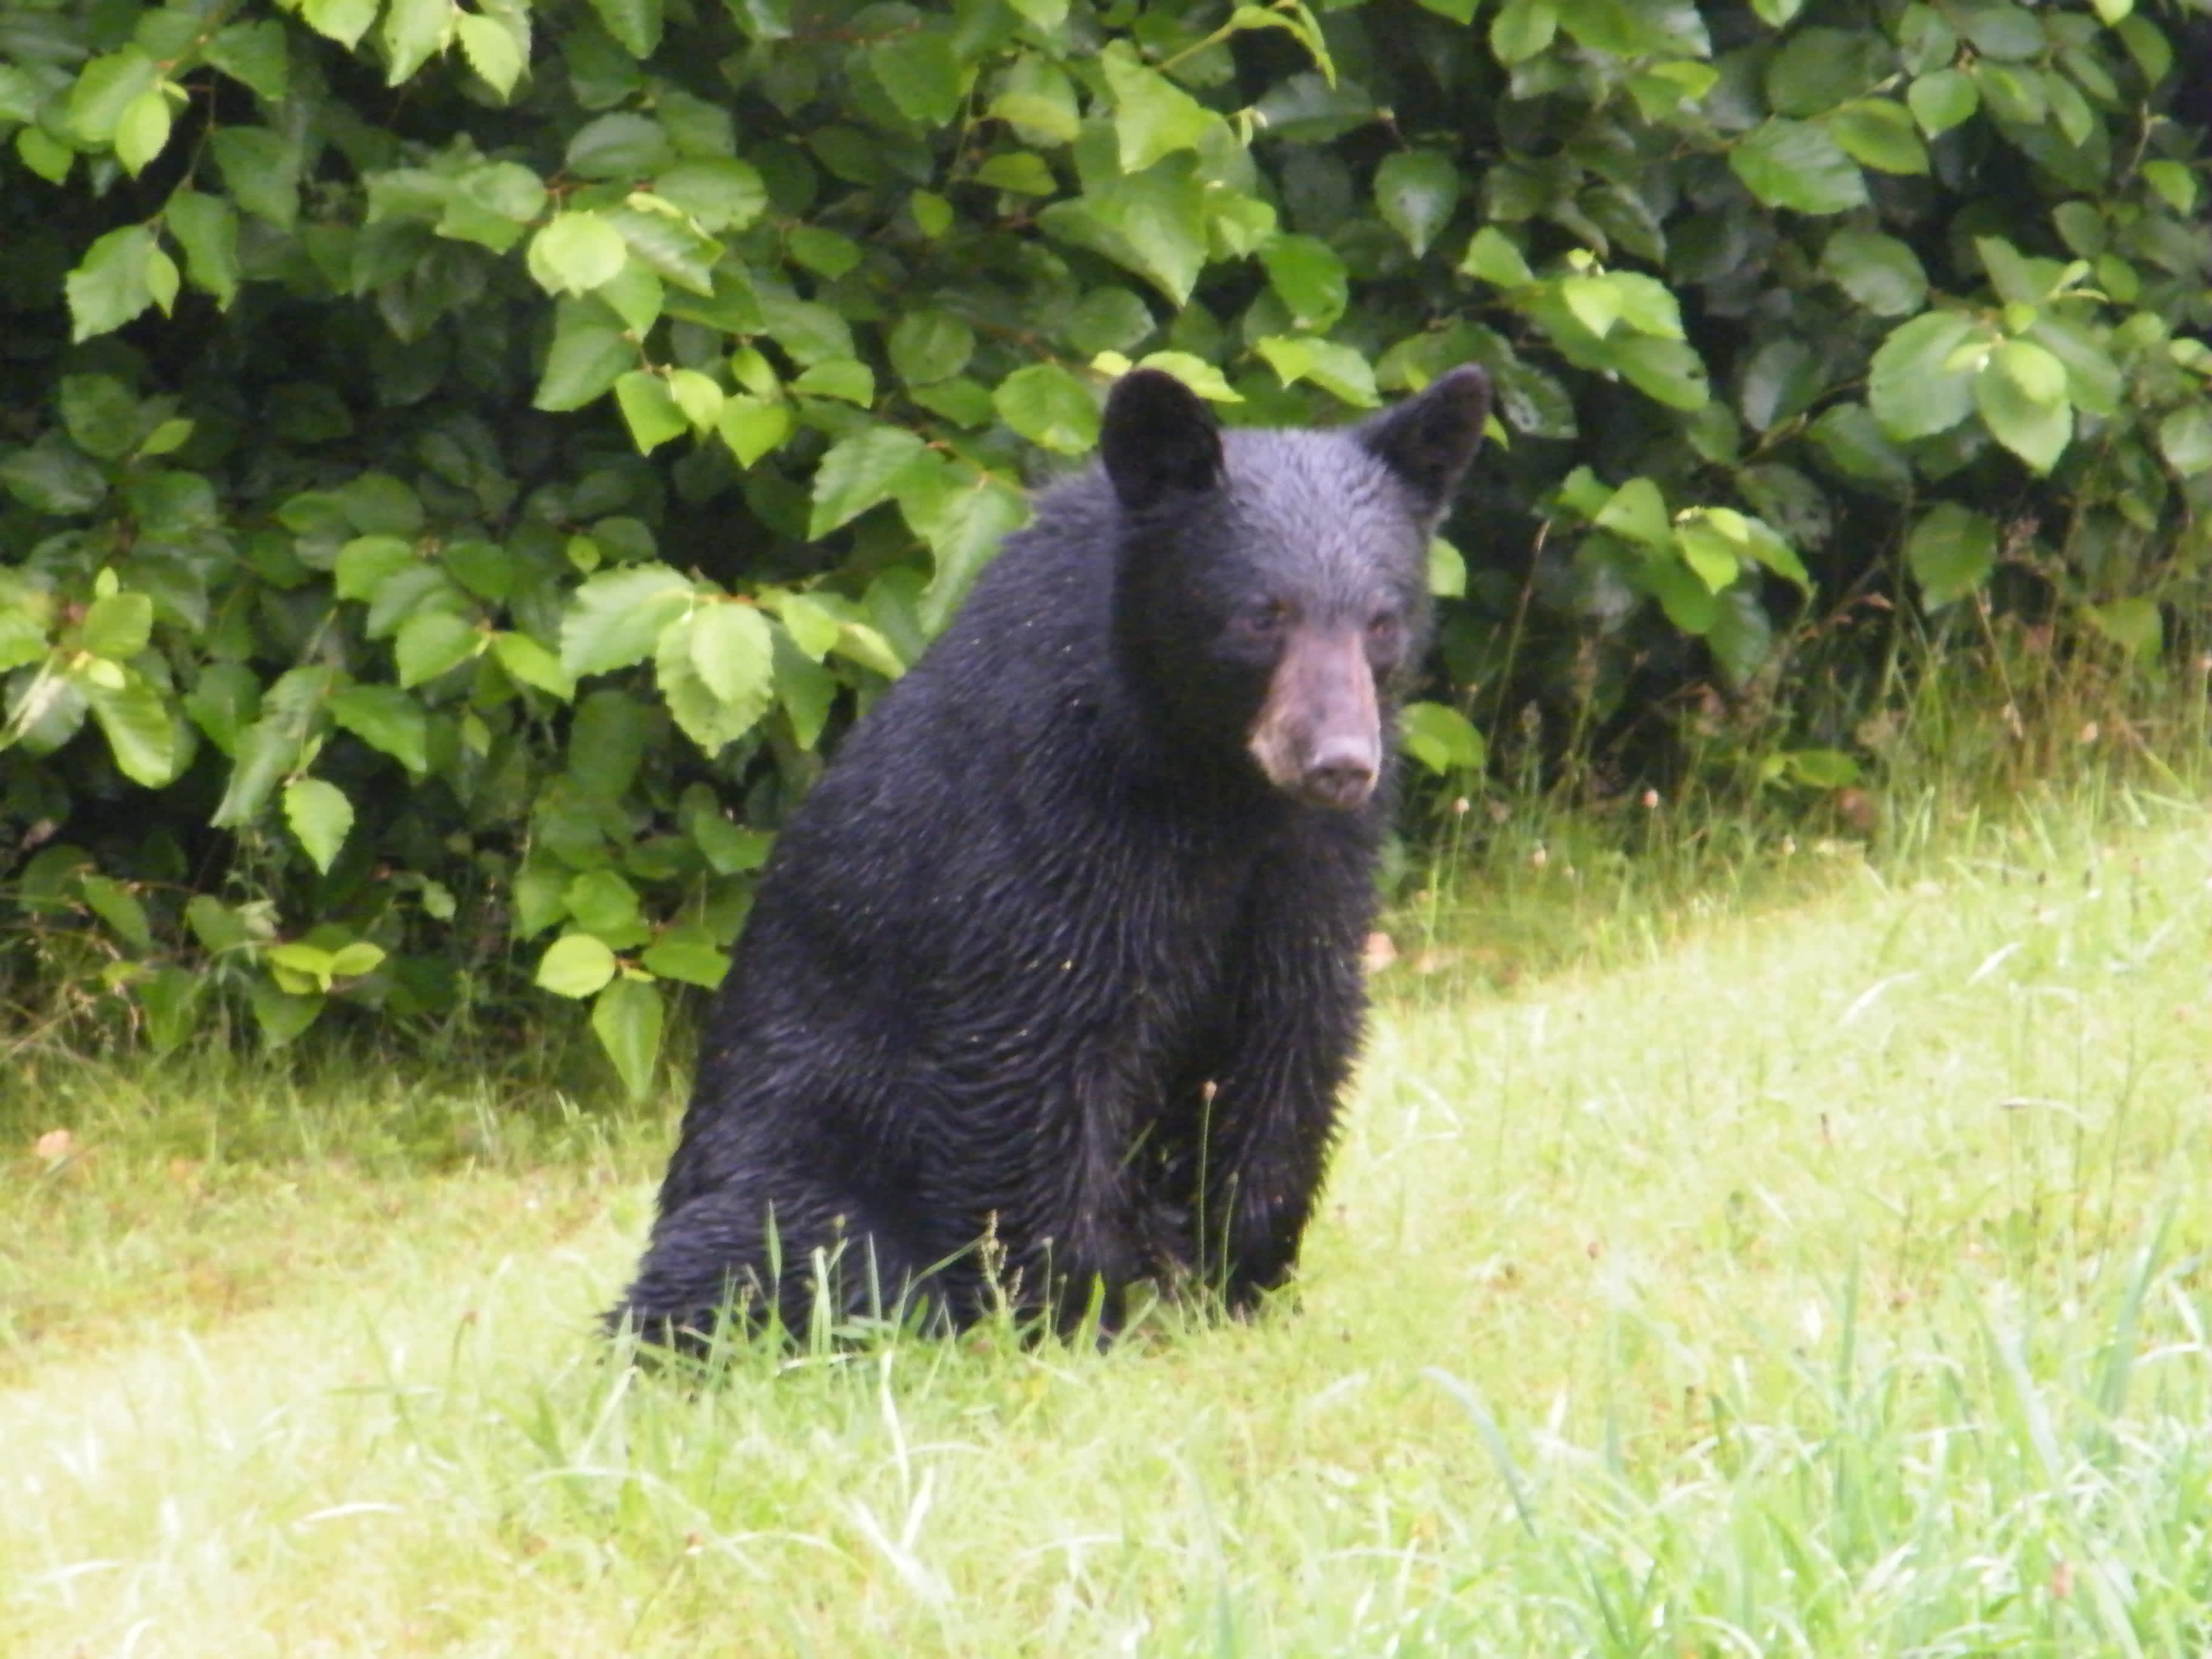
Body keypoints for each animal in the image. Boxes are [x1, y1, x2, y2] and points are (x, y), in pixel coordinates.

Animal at [615, 367, 1495, 1353]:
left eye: (1382, 621)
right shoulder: (1050, 831)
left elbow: (1288, 1043)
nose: (1339, 763)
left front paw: (1240, 1289)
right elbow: (1035, 1055)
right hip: (792, 1170)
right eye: (1261, 616)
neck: (1211, 786)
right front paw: (1072, 1322)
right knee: (778, 1252)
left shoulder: (1310, 869)